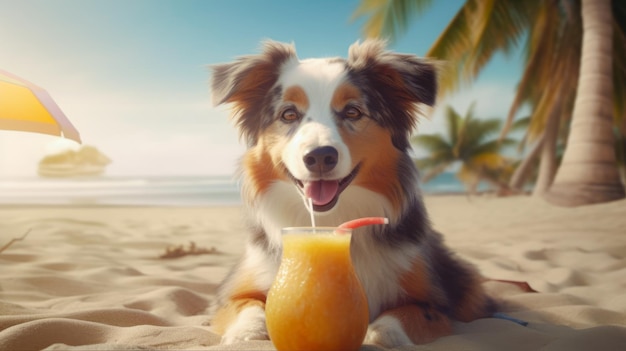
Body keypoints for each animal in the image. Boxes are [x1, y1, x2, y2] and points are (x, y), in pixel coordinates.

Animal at [207, 40, 494, 348]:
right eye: (289, 114)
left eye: (353, 112)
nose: (320, 156)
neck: (329, 222)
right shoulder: (234, 291)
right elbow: (250, 307)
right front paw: (244, 334)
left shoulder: (435, 302)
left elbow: (398, 318)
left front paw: (381, 333)